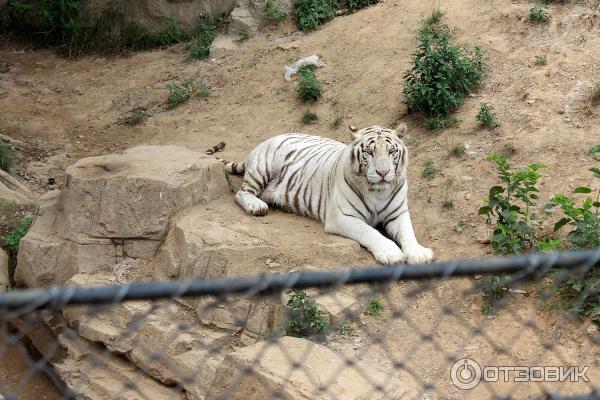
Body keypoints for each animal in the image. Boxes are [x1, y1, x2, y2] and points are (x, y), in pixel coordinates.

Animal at [218, 123, 434, 264]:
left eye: (391, 152)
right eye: (369, 152)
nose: (383, 173)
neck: (378, 191)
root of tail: (269, 138)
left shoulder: (398, 213)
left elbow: (408, 233)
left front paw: (418, 253)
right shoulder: (342, 217)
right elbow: (370, 232)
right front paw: (391, 253)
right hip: (262, 168)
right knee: (241, 193)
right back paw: (257, 206)